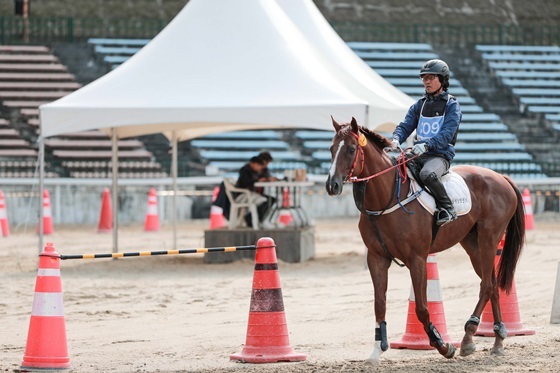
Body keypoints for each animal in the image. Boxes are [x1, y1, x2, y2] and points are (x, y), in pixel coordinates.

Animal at [324, 116, 524, 360]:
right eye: (332, 149)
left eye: (352, 149)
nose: (332, 185)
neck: (387, 197)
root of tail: (501, 177)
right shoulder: (376, 258)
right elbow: (379, 304)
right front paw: (377, 349)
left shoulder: (417, 259)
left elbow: (421, 308)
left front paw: (442, 345)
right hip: (472, 244)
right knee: (493, 284)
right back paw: (497, 339)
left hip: (489, 239)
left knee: (487, 285)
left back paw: (469, 335)